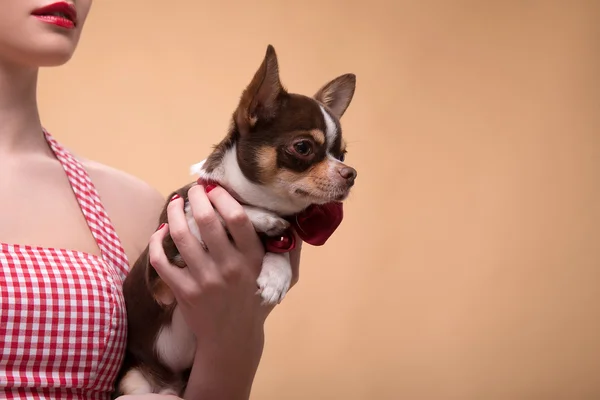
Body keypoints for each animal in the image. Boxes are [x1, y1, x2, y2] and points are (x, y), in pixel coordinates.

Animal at [112, 45, 356, 396]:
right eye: (303, 147)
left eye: (343, 155)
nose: (351, 174)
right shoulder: (163, 274)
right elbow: (218, 208)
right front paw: (260, 217)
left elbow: (284, 241)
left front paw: (276, 274)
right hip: (133, 382)